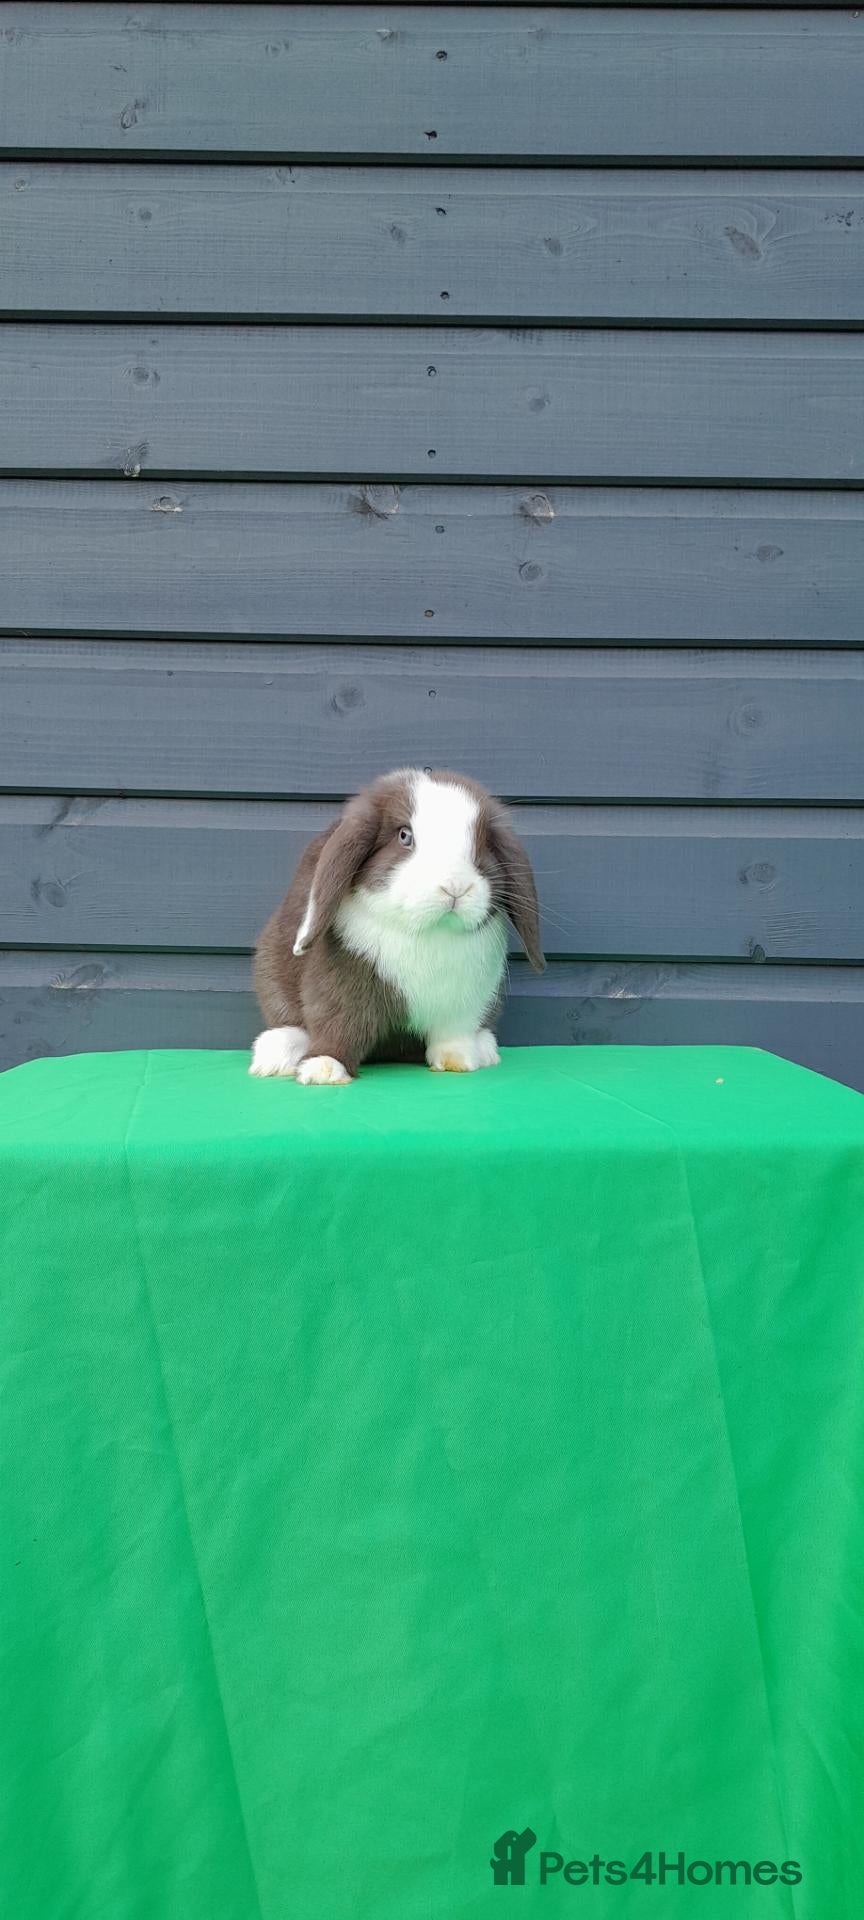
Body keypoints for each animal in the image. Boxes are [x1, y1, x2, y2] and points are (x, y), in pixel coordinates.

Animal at [250, 767, 545, 1085]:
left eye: (484, 843)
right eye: (405, 836)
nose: (455, 887)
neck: (429, 932)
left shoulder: (463, 1005)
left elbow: (452, 1036)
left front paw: (458, 1061)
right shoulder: (341, 986)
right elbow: (337, 1024)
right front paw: (324, 1069)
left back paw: (485, 1049)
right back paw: (275, 1056)